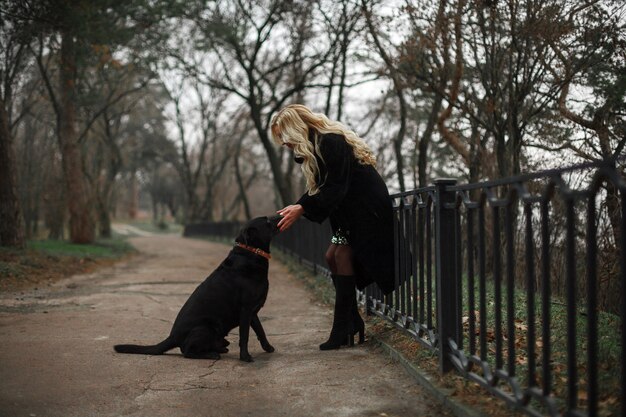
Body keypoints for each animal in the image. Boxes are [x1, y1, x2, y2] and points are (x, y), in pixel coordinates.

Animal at [113, 214, 282, 360]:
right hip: (206, 327)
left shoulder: (253, 312)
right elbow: (245, 336)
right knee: (187, 351)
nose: (281, 214)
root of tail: (173, 337)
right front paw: (245, 357)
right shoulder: (246, 310)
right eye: (267, 221)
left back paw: (219, 349)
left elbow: (261, 331)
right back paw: (211, 354)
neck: (251, 253)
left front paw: (268, 348)